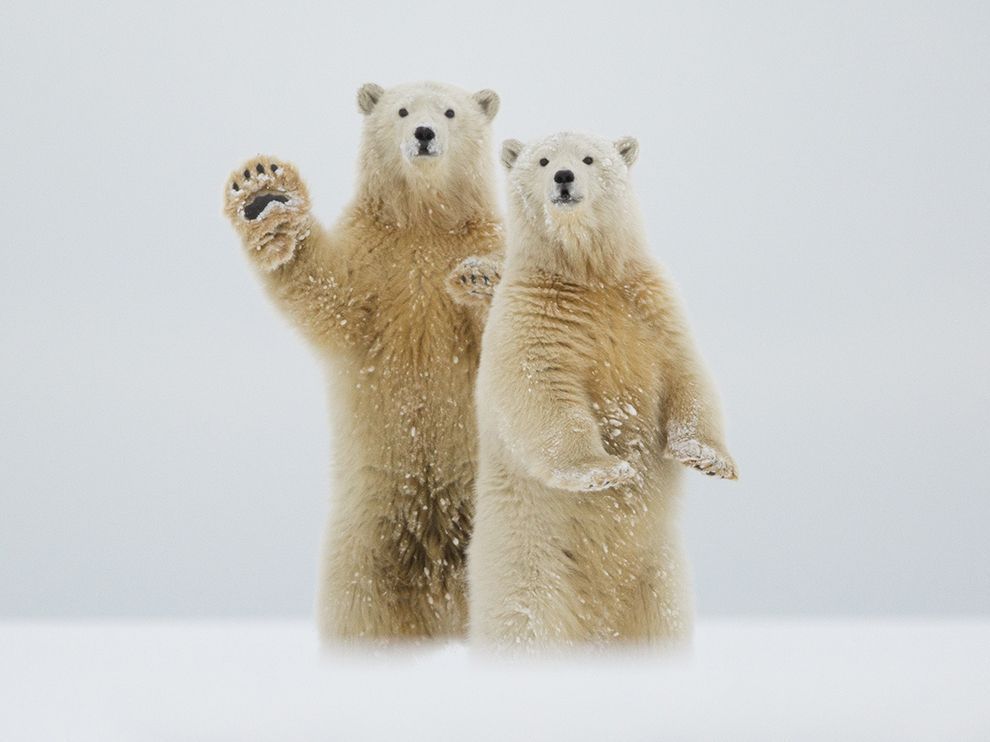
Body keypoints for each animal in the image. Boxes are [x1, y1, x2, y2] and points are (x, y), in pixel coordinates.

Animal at [222, 81, 504, 642]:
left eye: (450, 111)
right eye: (401, 110)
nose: (423, 133)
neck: (424, 223)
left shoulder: (480, 239)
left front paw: (481, 279)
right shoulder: (375, 261)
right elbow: (329, 294)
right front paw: (264, 191)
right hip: (363, 547)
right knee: (359, 613)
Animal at [467, 131, 737, 648]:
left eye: (589, 158)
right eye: (542, 160)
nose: (563, 177)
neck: (589, 274)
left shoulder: (650, 304)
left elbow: (687, 372)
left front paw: (708, 458)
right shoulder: (534, 315)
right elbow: (541, 389)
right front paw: (606, 469)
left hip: (659, 575)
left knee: (662, 623)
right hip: (527, 561)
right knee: (527, 622)